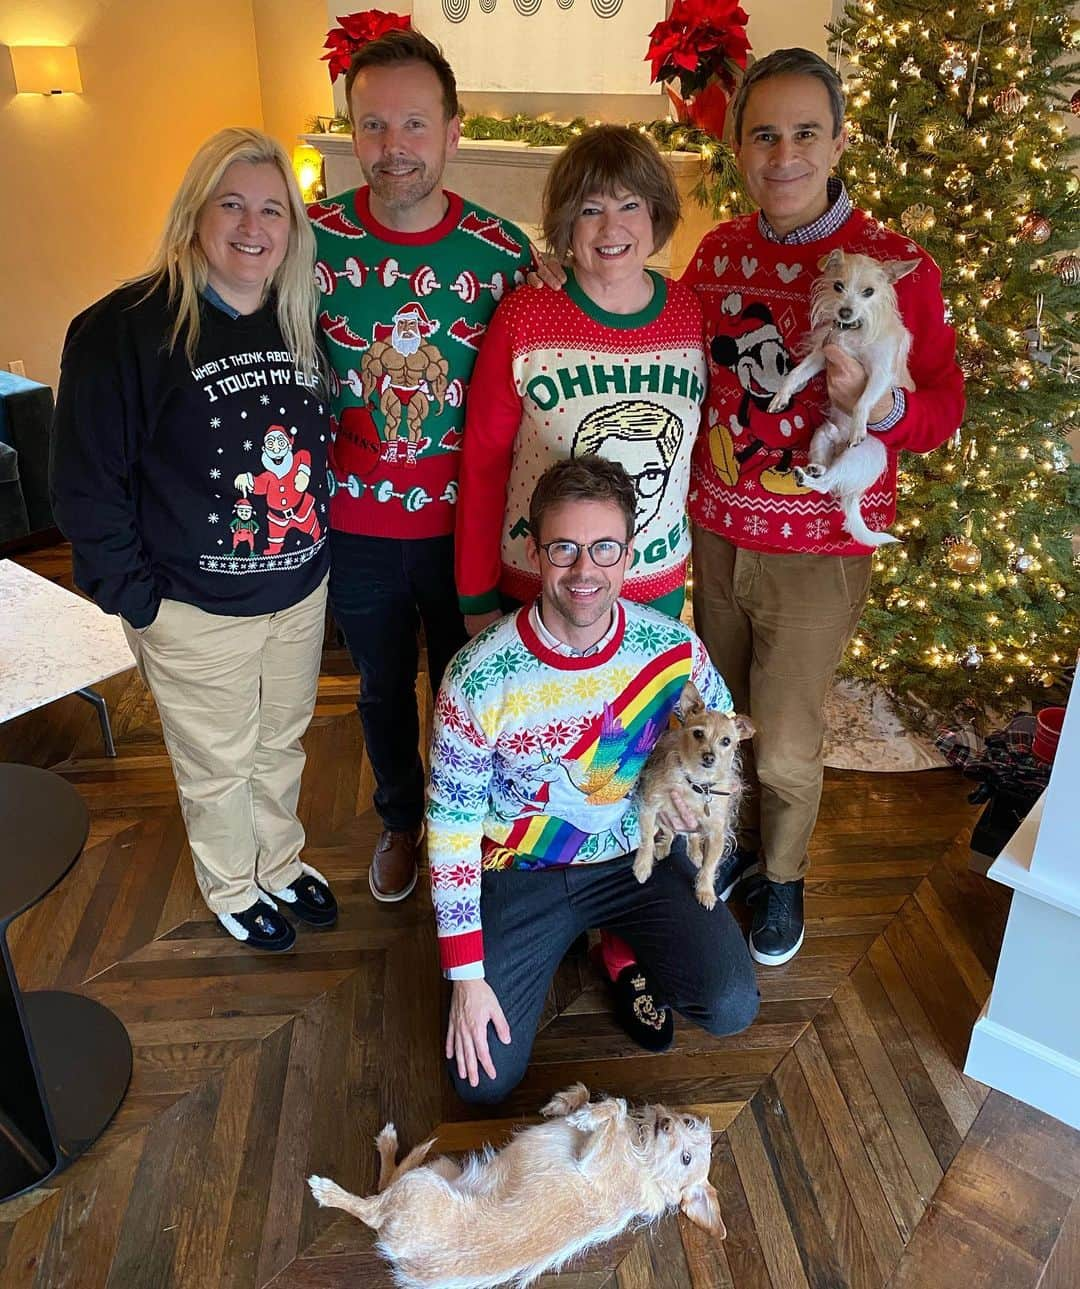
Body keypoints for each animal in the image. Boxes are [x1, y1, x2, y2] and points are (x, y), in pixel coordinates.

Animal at [306, 1082, 726, 1283]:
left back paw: (330, 1189)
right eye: (688, 1123)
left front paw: (588, 1115)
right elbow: (594, 1097)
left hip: (420, 1185)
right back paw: (391, 1144)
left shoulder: (590, 1164)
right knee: (387, 1181)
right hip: (440, 1167)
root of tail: (401, 1253)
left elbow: (616, 1105)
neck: (645, 1159)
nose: (666, 1122)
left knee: (371, 1207)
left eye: (688, 1158)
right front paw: (567, 1102)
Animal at [634, 680, 752, 912]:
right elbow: (646, 839)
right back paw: (664, 848)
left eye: (726, 741)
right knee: (669, 833)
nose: (709, 757)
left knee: (692, 835)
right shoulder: (650, 806)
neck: (697, 784)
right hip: (662, 819)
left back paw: (695, 853)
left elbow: (710, 866)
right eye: (698, 734)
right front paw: (643, 866)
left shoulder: (717, 833)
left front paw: (705, 891)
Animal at [768, 251, 922, 549]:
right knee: (825, 466)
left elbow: (862, 401)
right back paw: (814, 467)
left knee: (829, 484)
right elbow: (796, 374)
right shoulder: (822, 355)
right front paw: (781, 395)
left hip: (856, 457)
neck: (852, 332)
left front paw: (859, 426)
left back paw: (814, 473)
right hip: (823, 435)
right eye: (838, 286)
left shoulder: (879, 373)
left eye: (869, 292)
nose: (845, 312)